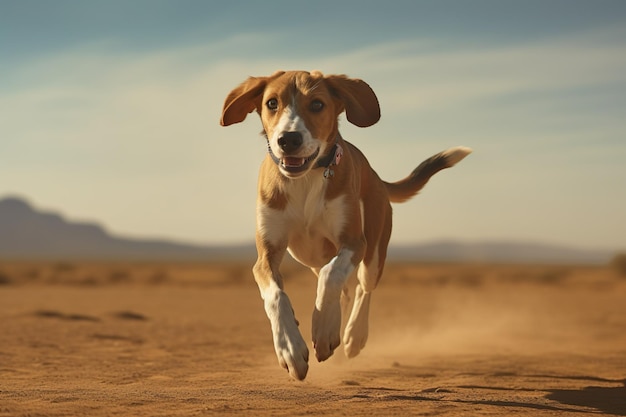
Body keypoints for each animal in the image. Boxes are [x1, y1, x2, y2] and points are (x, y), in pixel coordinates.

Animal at [219, 70, 468, 378]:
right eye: (272, 103)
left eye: (317, 104)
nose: (288, 139)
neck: (306, 179)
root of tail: (376, 176)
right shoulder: (267, 254)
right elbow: (276, 295)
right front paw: (290, 347)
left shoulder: (353, 242)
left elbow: (332, 276)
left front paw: (325, 329)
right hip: (311, 257)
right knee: (345, 287)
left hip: (374, 248)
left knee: (363, 287)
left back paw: (353, 336)